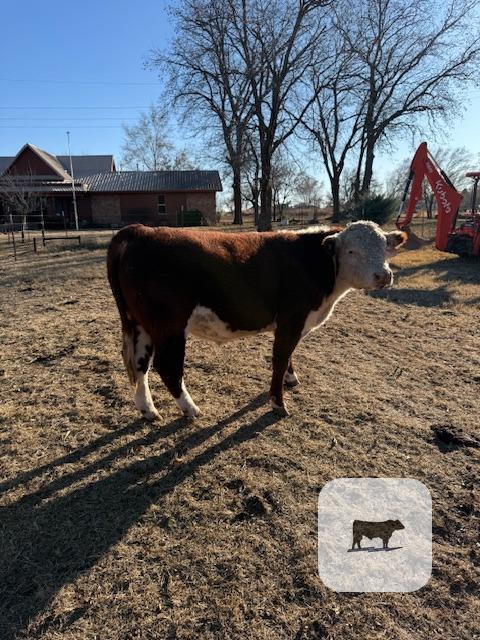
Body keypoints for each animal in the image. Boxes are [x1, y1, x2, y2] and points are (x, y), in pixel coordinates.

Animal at [107, 221, 406, 420]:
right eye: (352, 251)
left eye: (385, 247)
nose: (384, 275)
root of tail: (139, 230)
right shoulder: (291, 319)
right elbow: (280, 358)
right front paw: (278, 403)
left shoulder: (291, 324)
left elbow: (289, 355)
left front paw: (291, 378)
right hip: (169, 326)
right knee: (167, 367)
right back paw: (190, 409)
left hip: (139, 324)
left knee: (139, 364)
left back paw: (148, 409)